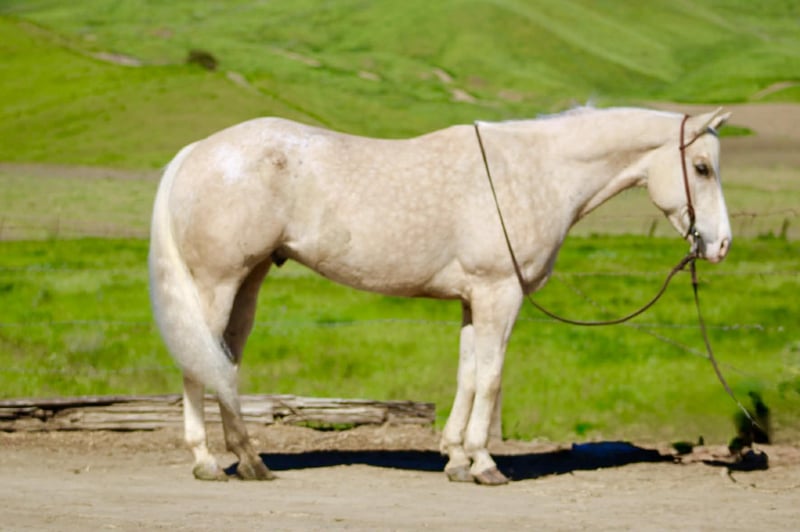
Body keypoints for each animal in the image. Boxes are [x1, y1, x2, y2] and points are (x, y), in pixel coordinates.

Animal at [149, 106, 732, 485]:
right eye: (702, 167)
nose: (720, 244)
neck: (534, 173)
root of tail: (197, 152)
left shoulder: (474, 300)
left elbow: (468, 375)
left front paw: (455, 459)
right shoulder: (500, 294)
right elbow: (491, 377)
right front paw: (485, 464)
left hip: (247, 282)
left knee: (225, 360)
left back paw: (250, 461)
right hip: (216, 283)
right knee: (198, 363)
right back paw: (206, 462)